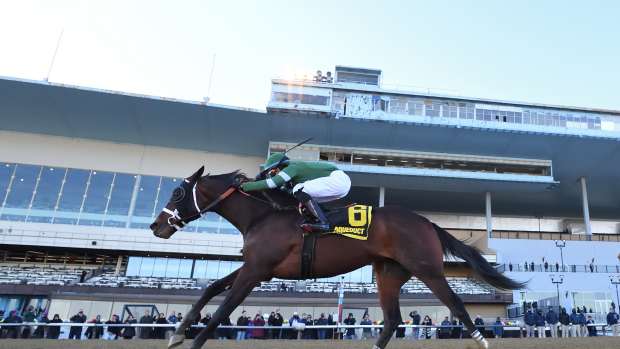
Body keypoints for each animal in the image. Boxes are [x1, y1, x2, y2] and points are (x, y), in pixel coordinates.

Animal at [150, 167, 524, 348]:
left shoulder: (256, 270)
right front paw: (178, 333)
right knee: (392, 319)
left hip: (427, 269)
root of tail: (426, 221)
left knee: (457, 306)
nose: (156, 226)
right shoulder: (257, 267)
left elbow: (222, 310)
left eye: (177, 192)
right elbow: (210, 288)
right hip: (389, 273)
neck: (263, 215)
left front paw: (191, 339)